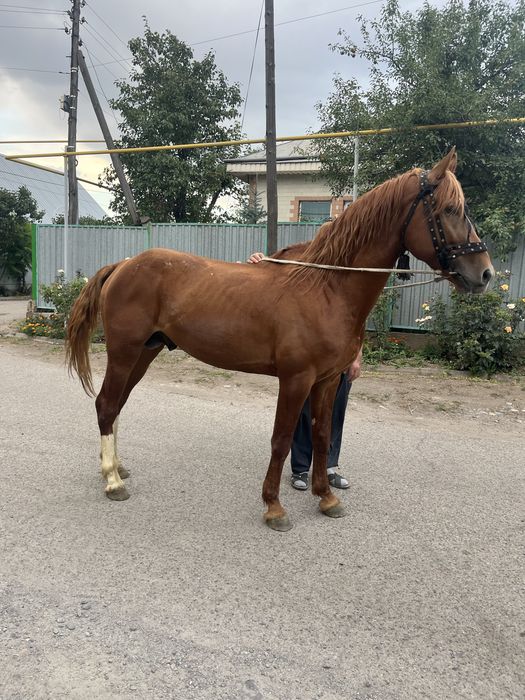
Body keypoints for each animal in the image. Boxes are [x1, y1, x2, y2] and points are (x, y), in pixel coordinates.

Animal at [65, 148, 493, 531]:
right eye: (450, 210)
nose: (485, 274)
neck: (327, 288)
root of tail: (123, 265)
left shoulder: (327, 381)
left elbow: (321, 436)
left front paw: (326, 497)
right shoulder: (296, 380)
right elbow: (282, 439)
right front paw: (274, 507)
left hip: (145, 353)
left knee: (116, 406)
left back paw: (116, 467)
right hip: (125, 352)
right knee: (106, 404)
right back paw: (112, 480)